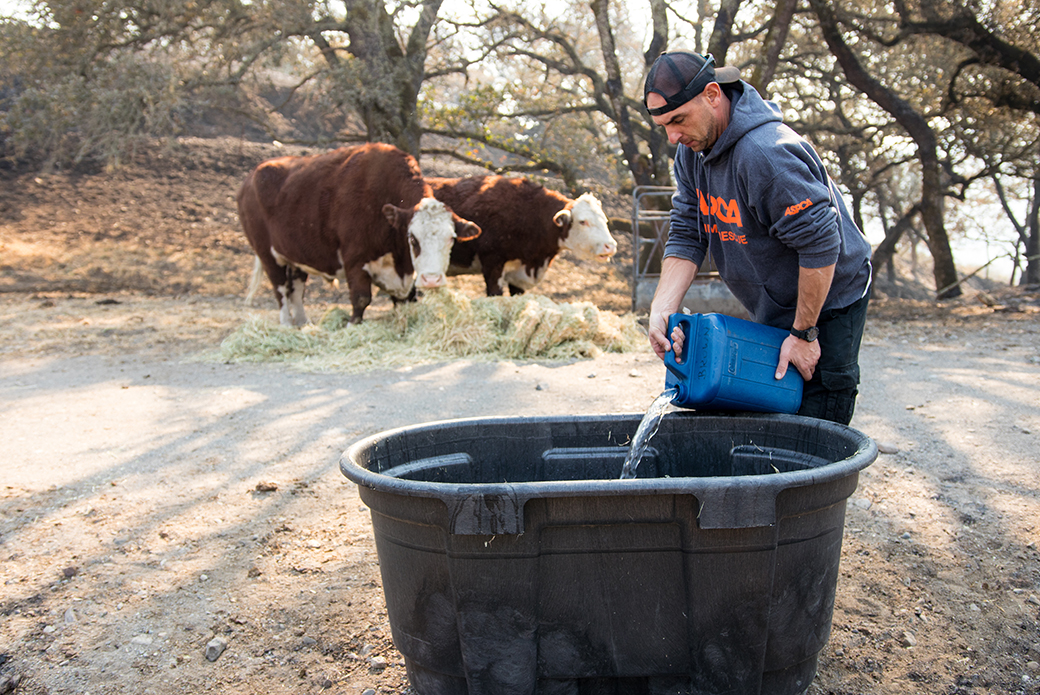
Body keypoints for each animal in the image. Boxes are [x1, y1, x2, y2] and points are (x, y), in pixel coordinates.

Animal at [238, 143, 480, 326]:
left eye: (451, 239)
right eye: (412, 238)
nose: (431, 280)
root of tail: (251, 176)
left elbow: (405, 302)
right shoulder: (354, 259)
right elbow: (361, 299)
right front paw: (352, 324)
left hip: (296, 256)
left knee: (295, 289)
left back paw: (304, 323)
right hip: (267, 254)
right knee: (280, 289)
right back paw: (287, 324)